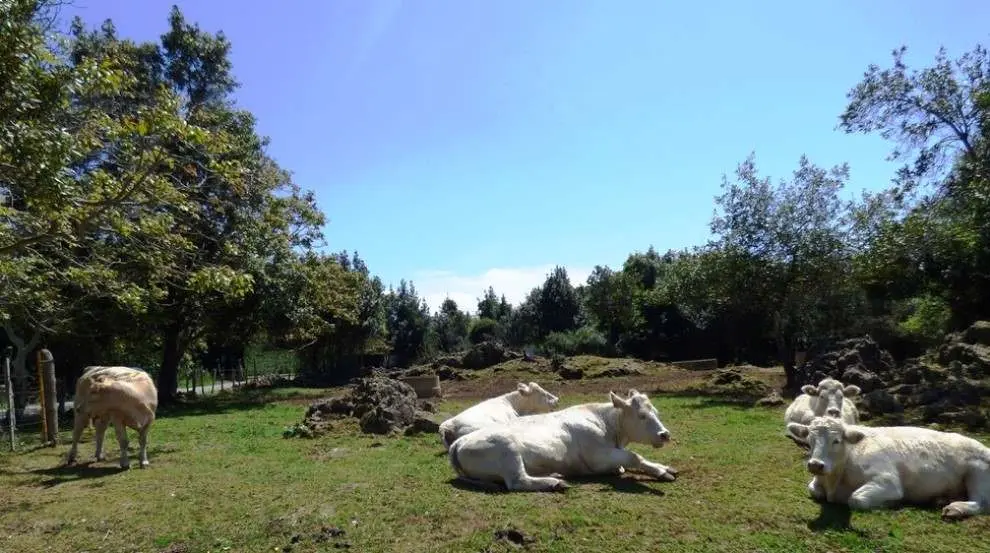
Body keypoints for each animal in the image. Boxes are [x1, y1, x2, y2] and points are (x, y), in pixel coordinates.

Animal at [448, 388, 676, 492]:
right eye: (642, 416)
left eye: (656, 412)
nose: (665, 434)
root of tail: (458, 442)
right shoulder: (597, 457)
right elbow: (634, 457)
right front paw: (661, 471)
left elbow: (632, 461)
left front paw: (663, 467)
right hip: (507, 449)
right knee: (517, 481)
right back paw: (555, 482)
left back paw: (555, 474)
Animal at [796, 416, 990, 520]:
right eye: (809, 440)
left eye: (836, 441)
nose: (815, 464)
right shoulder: (817, 482)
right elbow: (813, 489)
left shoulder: (888, 480)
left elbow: (856, 499)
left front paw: (890, 504)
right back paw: (941, 500)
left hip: (977, 473)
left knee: (981, 503)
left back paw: (954, 509)